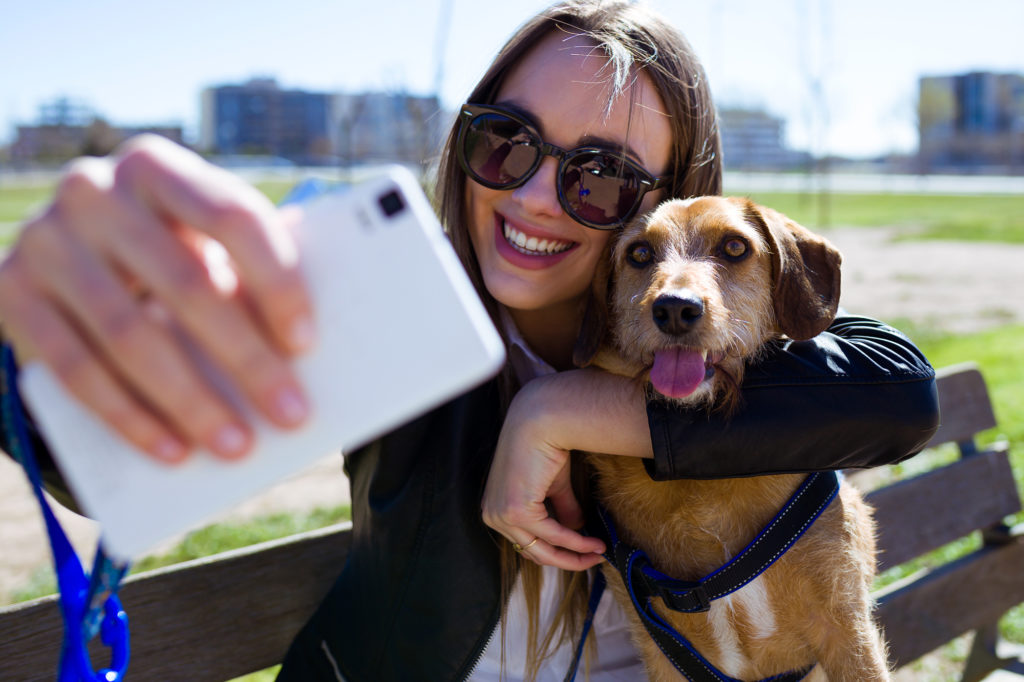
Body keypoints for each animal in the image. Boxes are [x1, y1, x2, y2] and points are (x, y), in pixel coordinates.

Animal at [573, 196, 892, 679]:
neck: (706, 491)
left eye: (735, 247)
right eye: (639, 254)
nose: (674, 308)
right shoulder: (660, 651)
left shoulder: (846, 629)